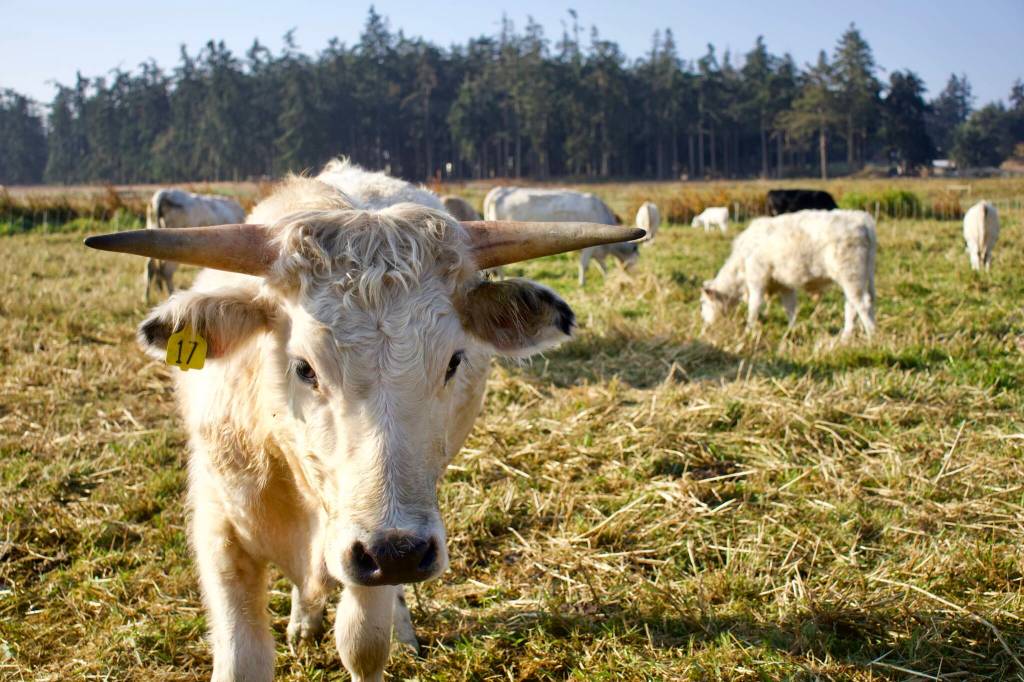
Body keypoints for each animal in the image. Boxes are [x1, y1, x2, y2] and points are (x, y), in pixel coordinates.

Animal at [483, 186, 642, 285]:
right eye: (637, 256)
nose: (637, 276)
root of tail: (498, 191)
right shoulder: (590, 247)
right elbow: (584, 264)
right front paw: (582, 282)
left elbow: (602, 266)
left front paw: (607, 278)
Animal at [701, 210, 876, 340]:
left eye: (703, 302)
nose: (705, 326)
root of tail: (861, 218)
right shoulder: (785, 285)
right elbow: (790, 309)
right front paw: (791, 329)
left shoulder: (757, 280)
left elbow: (754, 307)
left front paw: (748, 330)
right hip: (856, 280)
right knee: (852, 306)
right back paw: (846, 336)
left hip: (851, 277)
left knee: (862, 304)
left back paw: (871, 335)